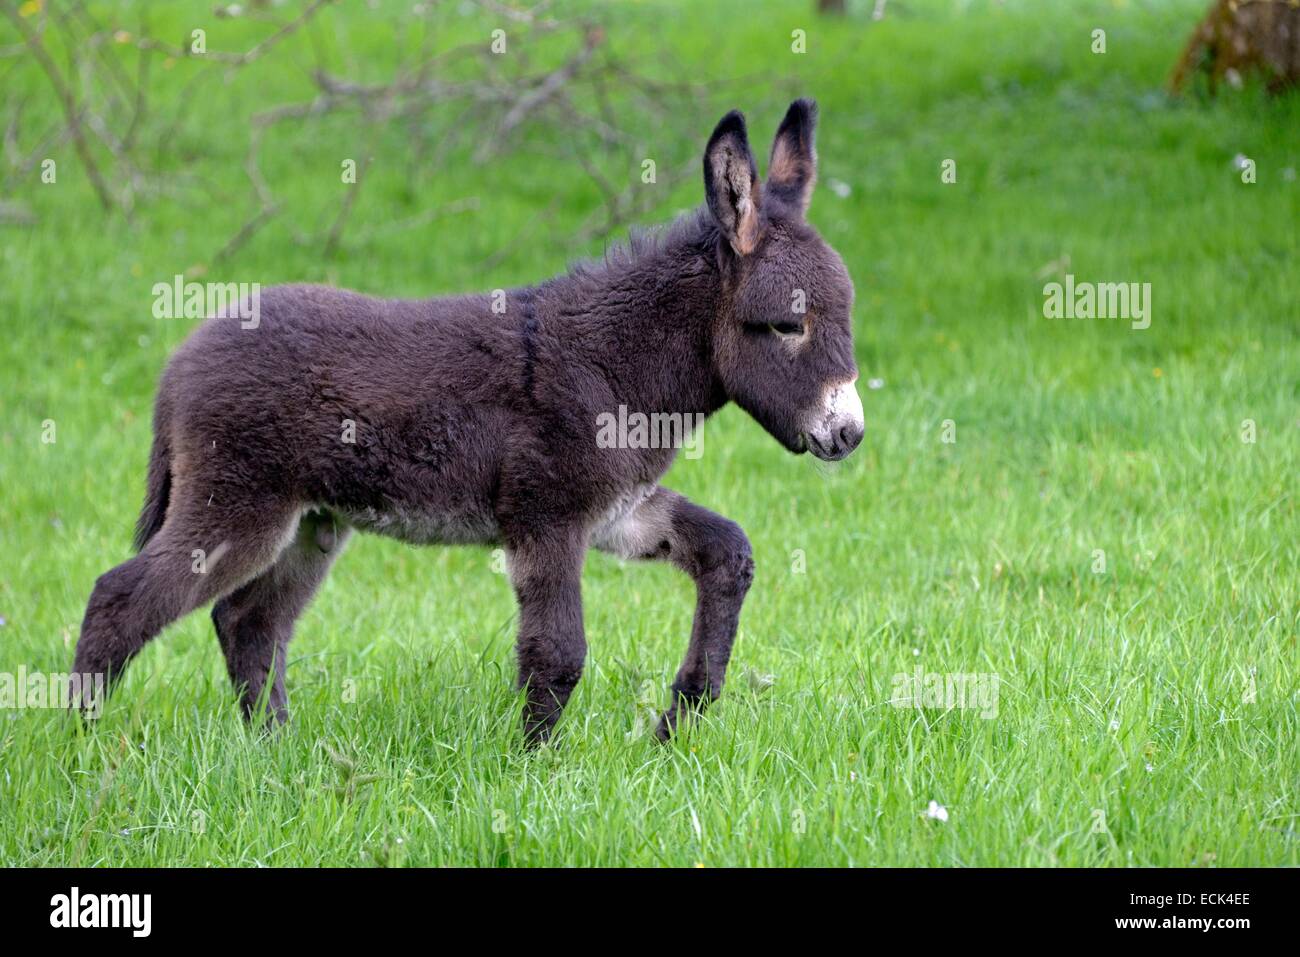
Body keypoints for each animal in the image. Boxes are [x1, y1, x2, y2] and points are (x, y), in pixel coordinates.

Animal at [71, 97, 863, 743]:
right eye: (787, 325)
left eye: (847, 318)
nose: (849, 434)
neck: (609, 361)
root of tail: (180, 361)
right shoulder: (547, 519)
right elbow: (558, 653)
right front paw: (535, 770)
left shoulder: (619, 512)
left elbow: (729, 552)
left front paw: (680, 717)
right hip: (237, 506)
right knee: (120, 600)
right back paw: (81, 750)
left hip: (311, 522)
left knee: (249, 625)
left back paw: (274, 750)